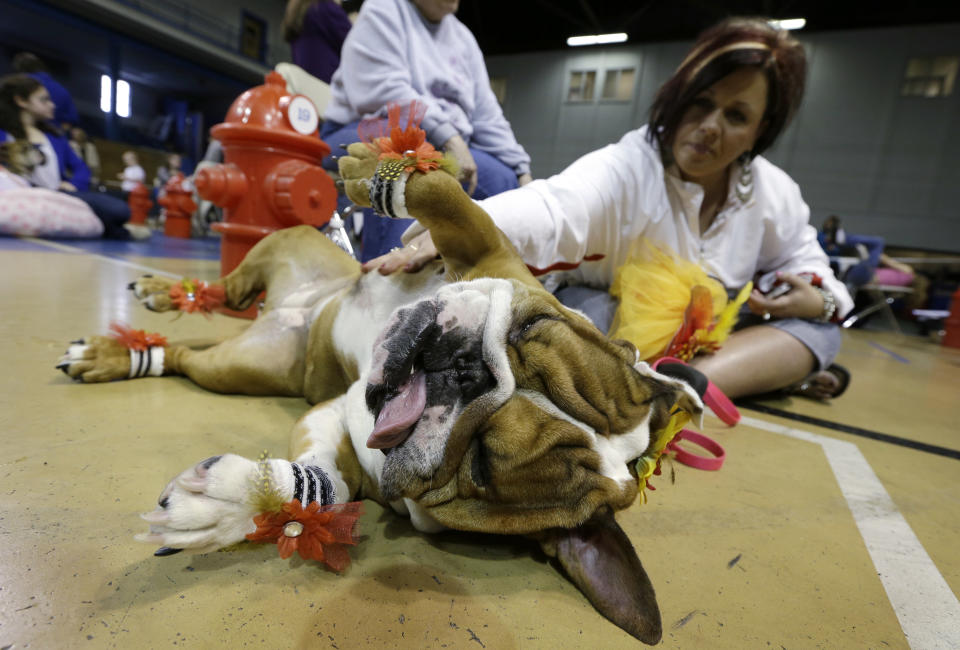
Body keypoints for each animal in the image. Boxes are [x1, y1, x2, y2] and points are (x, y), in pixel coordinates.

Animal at [62, 143, 704, 644]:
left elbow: (321, 491)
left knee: (188, 353)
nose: (468, 369)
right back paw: (165, 292)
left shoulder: (344, 436)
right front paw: (383, 167)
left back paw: (123, 352)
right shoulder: (487, 252)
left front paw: (233, 507)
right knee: (231, 284)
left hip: (233, 368)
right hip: (289, 245)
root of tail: (291, 309)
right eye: (530, 328)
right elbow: (444, 195)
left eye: (481, 464)